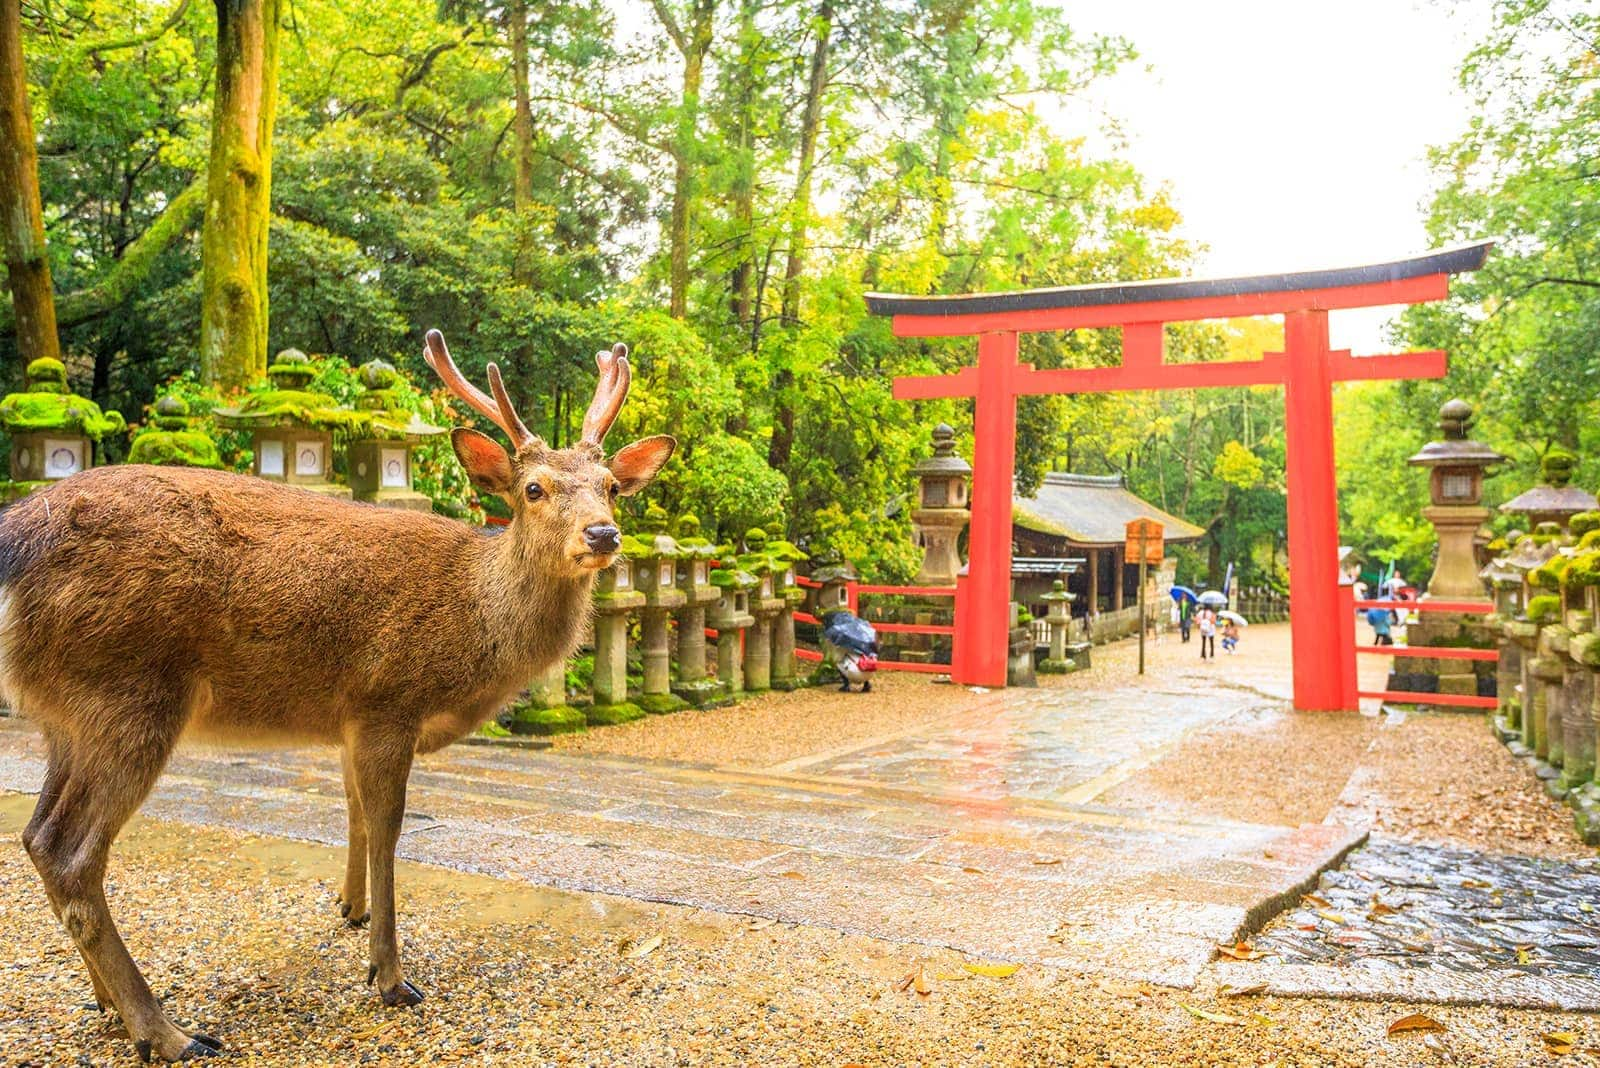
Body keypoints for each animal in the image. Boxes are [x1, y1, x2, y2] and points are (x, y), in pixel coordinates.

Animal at [0, 330, 675, 1061]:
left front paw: (350, 909)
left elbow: (350, 808)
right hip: (129, 691)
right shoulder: (388, 698)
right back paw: (168, 1032)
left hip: (67, 713)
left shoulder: (349, 716)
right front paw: (390, 976)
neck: (473, 623)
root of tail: (17, 540)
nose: (603, 534)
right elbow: (387, 825)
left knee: (37, 836)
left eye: (612, 488)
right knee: (71, 854)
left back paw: (108, 1004)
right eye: (533, 488)